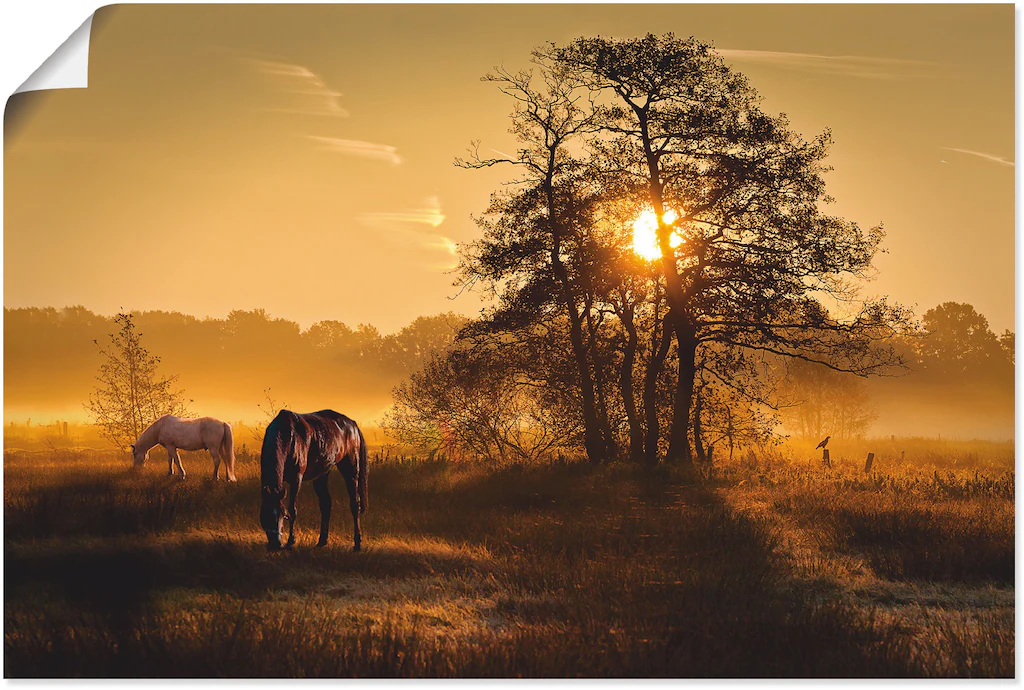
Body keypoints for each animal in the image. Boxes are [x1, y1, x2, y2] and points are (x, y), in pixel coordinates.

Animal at [260, 409, 368, 548]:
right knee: (326, 504)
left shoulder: (296, 479)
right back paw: (322, 541)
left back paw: (357, 543)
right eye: (264, 515)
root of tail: (353, 425)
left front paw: (291, 542)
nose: (275, 545)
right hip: (322, 475)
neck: (288, 437)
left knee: (355, 504)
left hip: (351, 469)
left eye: (283, 516)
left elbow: (293, 509)